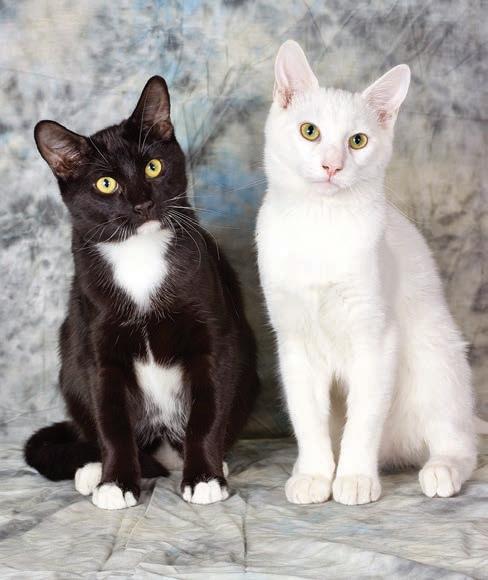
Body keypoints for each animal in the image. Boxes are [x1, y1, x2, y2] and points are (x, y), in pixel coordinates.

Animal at [24, 76, 259, 509]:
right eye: (105, 184)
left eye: (153, 166)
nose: (142, 203)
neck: (139, 257)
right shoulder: (98, 346)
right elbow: (111, 421)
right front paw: (116, 482)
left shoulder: (214, 335)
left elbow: (207, 411)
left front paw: (204, 477)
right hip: (70, 355)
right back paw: (92, 470)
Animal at [256, 40, 486, 505]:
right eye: (310, 131)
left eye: (358, 141)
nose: (333, 165)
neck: (319, 225)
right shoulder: (294, 345)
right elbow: (308, 421)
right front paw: (315, 476)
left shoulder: (375, 340)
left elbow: (362, 422)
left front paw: (355, 478)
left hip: (436, 361)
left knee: (459, 443)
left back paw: (440, 471)